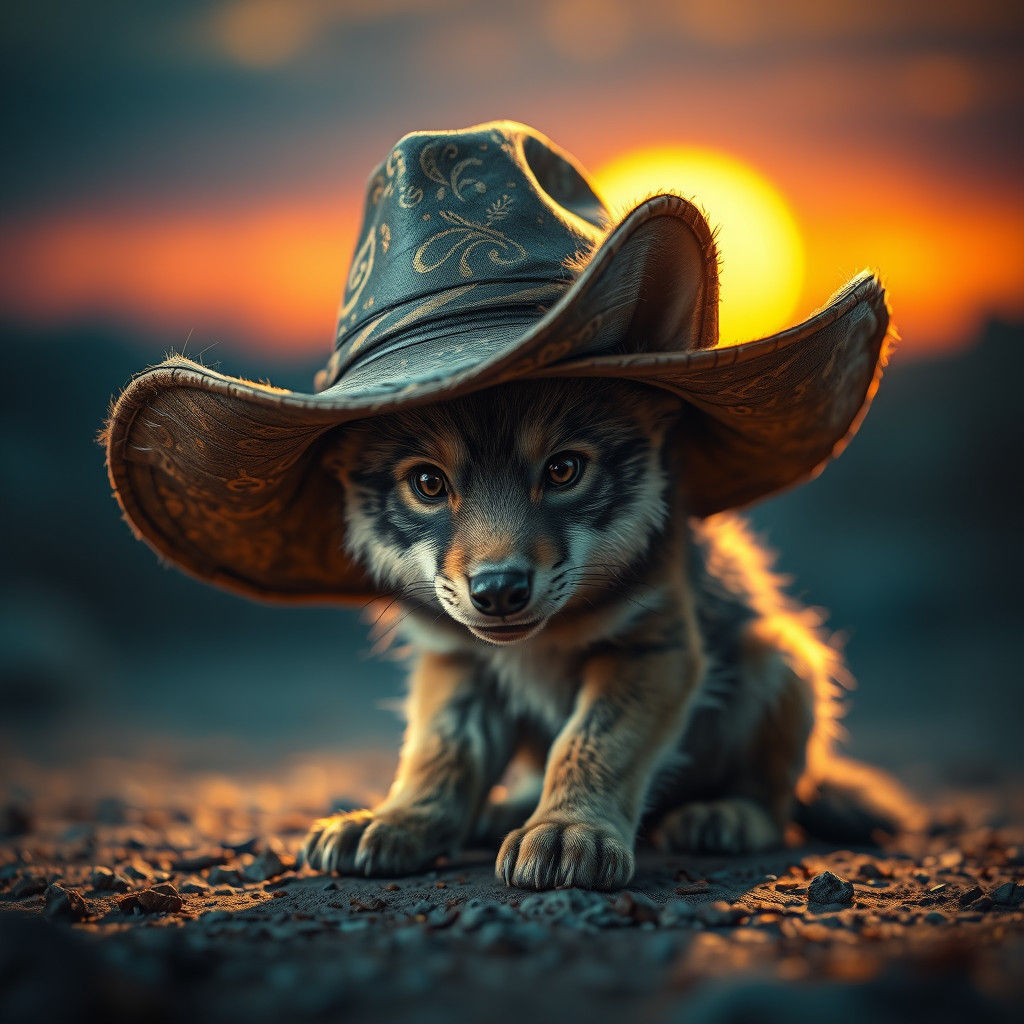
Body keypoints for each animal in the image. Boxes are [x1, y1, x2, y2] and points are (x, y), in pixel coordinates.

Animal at [300, 377, 918, 889]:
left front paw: (568, 830)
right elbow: (439, 752)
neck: (539, 642)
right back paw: (505, 808)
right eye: (428, 483)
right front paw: (398, 820)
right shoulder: (456, 661)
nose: (498, 591)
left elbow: (593, 743)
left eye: (563, 470)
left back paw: (727, 816)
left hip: (781, 657)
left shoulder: (650, 648)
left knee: (777, 802)